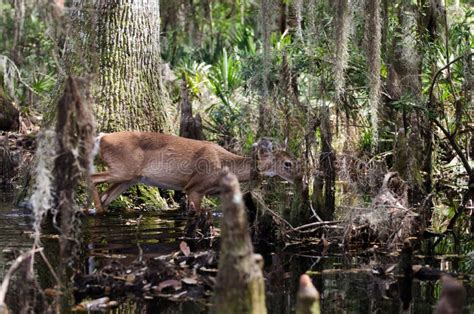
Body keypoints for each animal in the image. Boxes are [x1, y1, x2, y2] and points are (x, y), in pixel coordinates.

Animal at [90, 131, 298, 215]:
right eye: (288, 163)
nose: (300, 178)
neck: (224, 164)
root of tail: (102, 137)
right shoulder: (195, 187)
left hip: (129, 178)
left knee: (105, 195)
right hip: (122, 170)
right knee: (92, 178)